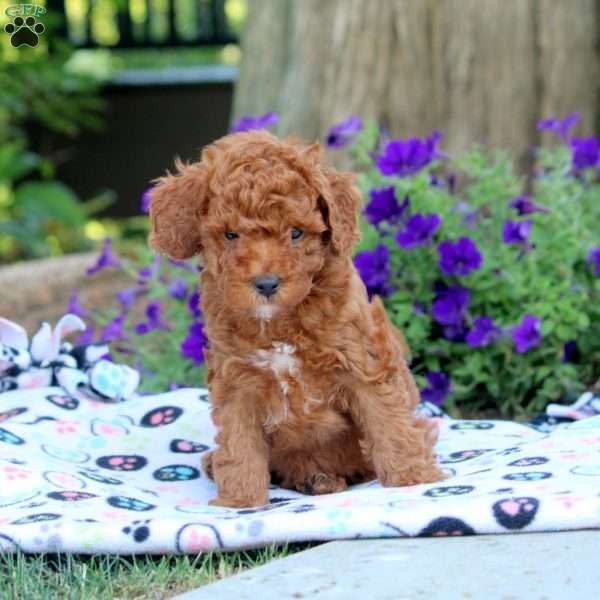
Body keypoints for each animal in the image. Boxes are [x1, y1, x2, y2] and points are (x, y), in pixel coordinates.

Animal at [150, 130, 446, 506]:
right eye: (230, 235)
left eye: (295, 233)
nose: (266, 283)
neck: (280, 325)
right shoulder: (236, 382)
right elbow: (238, 445)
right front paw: (241, 502)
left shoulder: (363, 364)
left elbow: (388, 422)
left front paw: (412, 479)